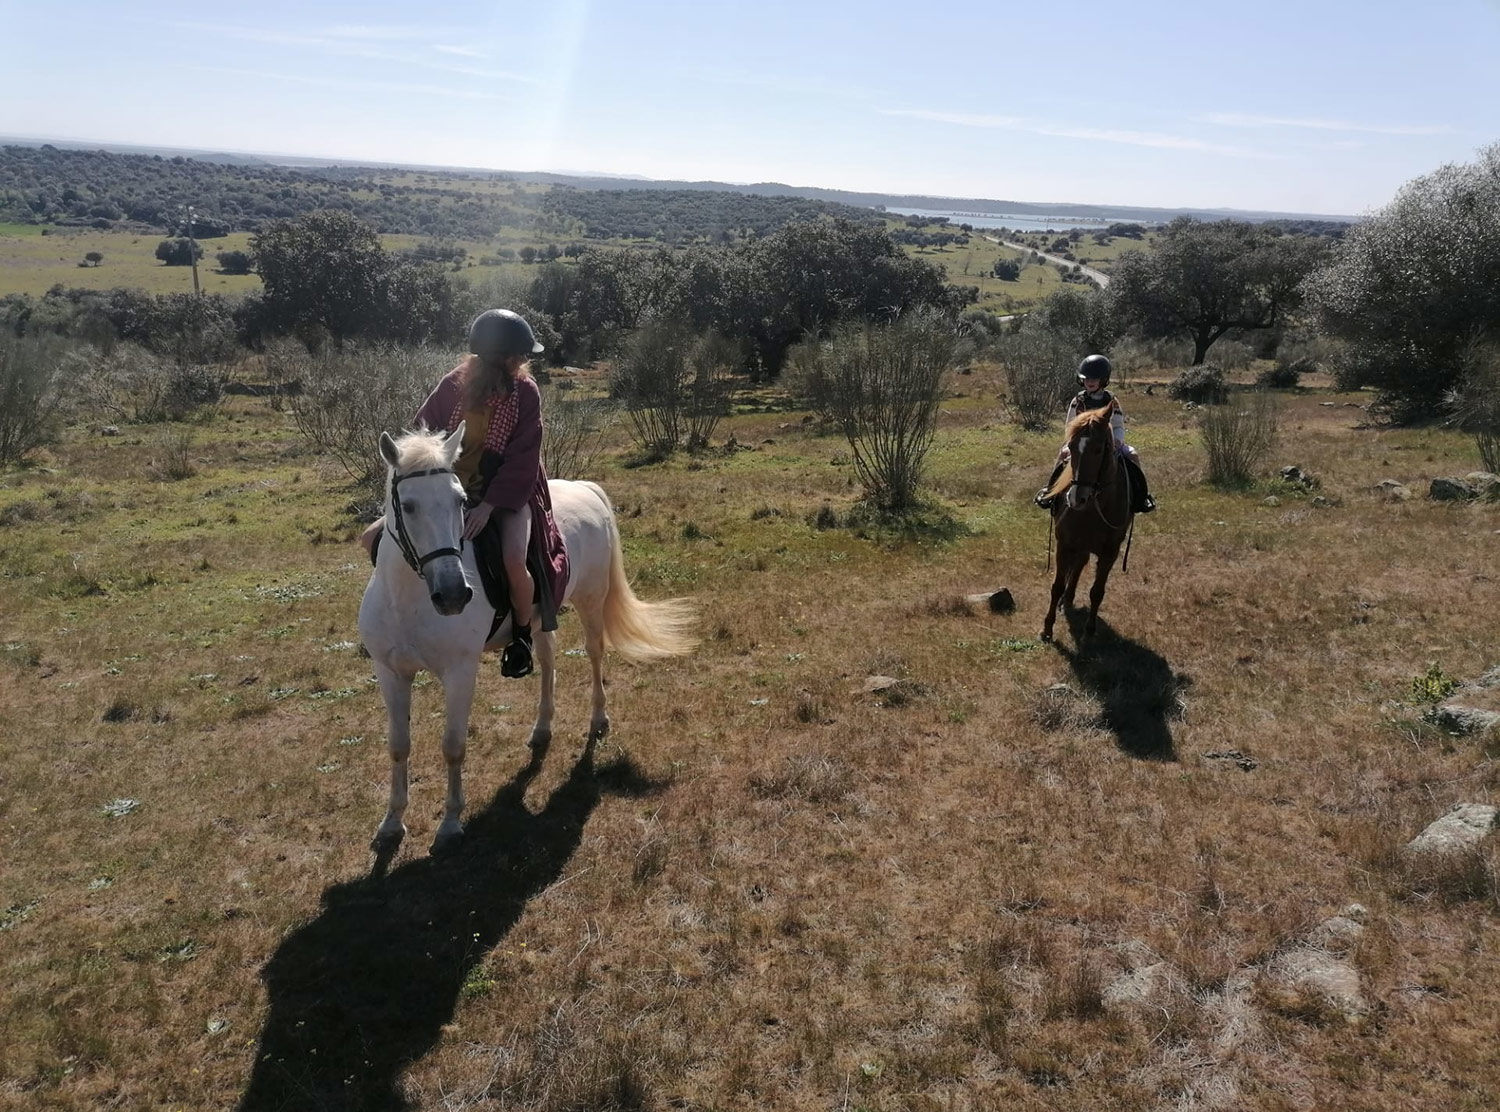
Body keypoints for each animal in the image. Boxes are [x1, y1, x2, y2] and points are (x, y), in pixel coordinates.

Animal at [357, 426, 696, 852]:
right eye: (409, 505)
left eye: (460, 501)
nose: (454, 595)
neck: (408, 598)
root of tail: (586, 488)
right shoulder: (390, 672)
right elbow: (398, 746)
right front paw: (391, 822)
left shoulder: (459, 672)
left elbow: (453, 746)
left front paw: (450, 823)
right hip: (539, 619)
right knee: (549, 661)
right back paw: (542, 729)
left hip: (590, 601)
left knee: (595, 654)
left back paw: (599, 719)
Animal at [1044, 402, 1134, 642]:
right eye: (1072, 447)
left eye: (1098, 449)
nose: (1077, 498)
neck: (1094, 508)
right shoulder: (1064, 544)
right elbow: (1056, 586)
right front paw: (1046, 629)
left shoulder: (1110, 552)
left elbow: (1097, 591)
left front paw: (1090, 629)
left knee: (1080, 565)